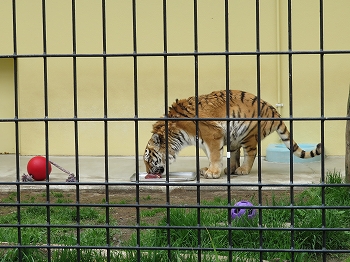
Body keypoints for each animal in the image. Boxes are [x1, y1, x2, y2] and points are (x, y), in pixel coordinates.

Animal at [143, 89, 322, 178]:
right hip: (233, 137)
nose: (148, 172)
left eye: (149, 159)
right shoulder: (205, 140)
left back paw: (243, 170)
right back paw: (231, 169)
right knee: (235, 154)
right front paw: (209, 169)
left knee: (251, 153)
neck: (176, 135)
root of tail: (274, 112)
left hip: (248, 134)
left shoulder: (212, 135)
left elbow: (215, 155)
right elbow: (210, 155)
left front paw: (213, 173)